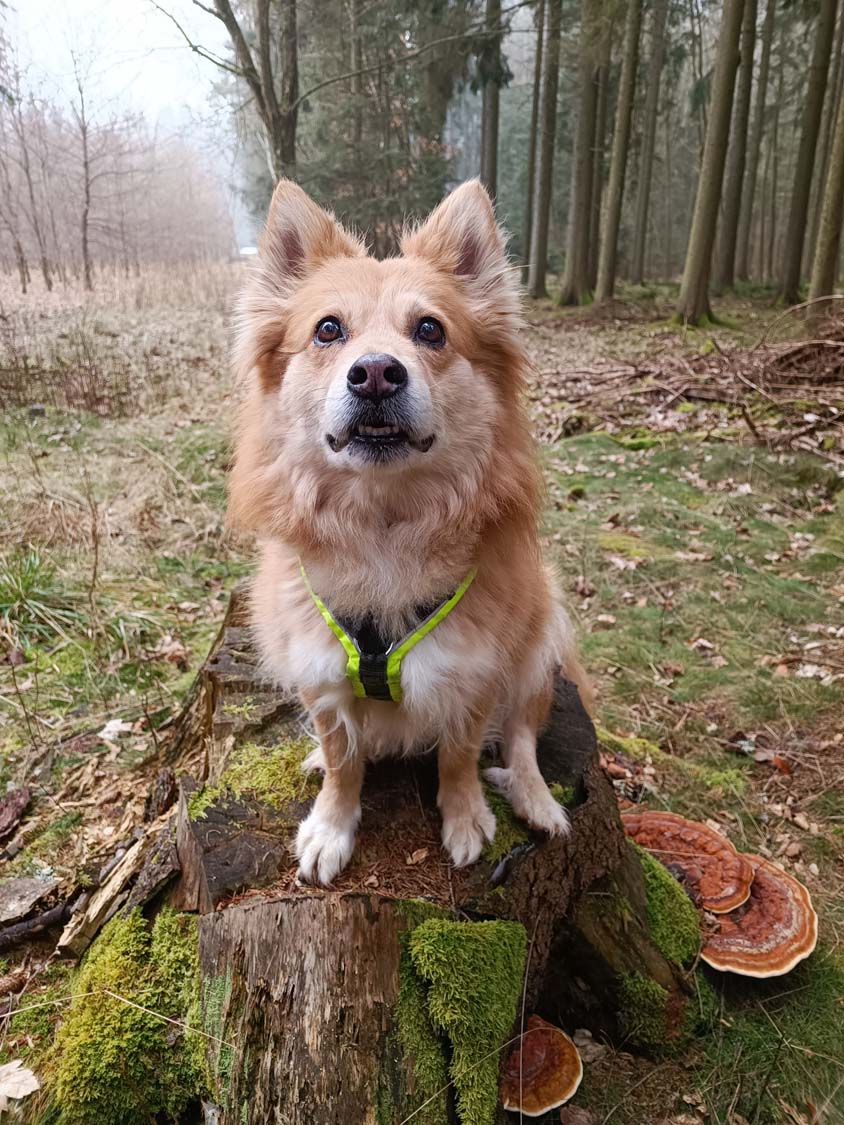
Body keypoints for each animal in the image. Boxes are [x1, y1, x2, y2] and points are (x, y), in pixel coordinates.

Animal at [228, 178, 592, 885]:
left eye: (430, 329)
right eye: (328, 330)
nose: (374, 372)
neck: (384, 524)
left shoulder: (473, 675)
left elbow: (460, 754)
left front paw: (465, 815)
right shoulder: (321, 677)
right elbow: (343, 760)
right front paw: (331, 824)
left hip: (540, 640)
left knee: (524, 735)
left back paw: (535, 798)